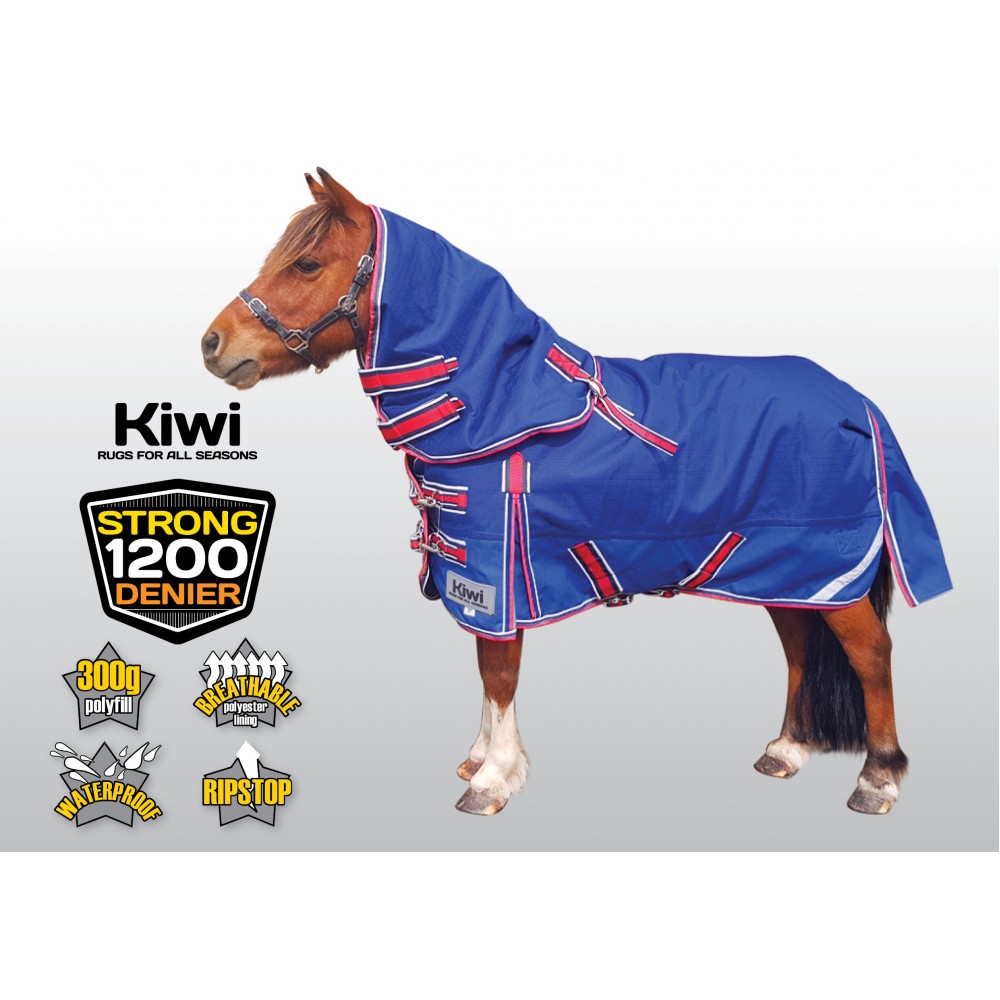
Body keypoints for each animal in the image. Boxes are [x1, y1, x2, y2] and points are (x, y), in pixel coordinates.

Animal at [202, 168, 952, 817]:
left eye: (306, 264)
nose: (213, 343)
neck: (499, 405)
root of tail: (853, 399)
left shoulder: (496, 574)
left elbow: (499, 673)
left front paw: (494, 779)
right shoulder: (482, 574)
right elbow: (486, 672)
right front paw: (481, 758)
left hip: (830, 568)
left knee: (871, 655)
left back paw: (878, 779)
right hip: (782, 568)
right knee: (799, 648)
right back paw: (787, 750)